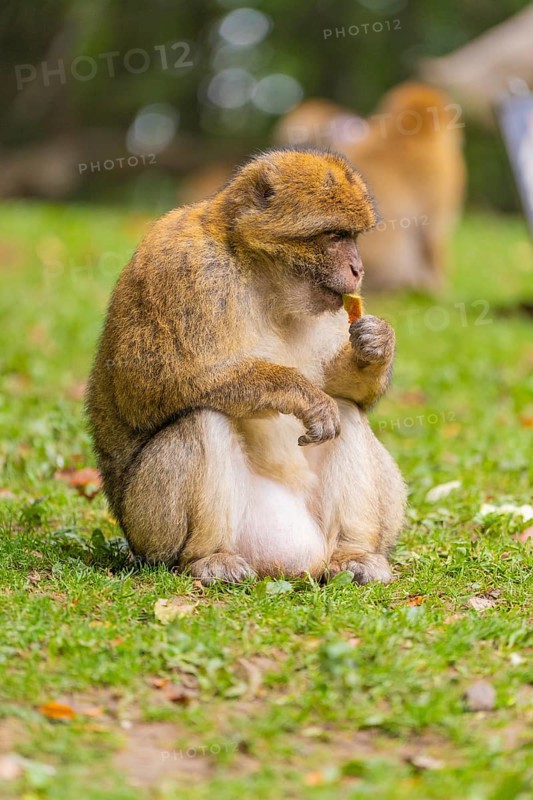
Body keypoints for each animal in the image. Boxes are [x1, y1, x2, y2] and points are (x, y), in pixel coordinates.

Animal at [86, 148, 406, 585]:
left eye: (354, 237)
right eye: (336, 236)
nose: (359, 269)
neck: (256, 269)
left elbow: (344, 389)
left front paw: (375, 345)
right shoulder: (184, 266)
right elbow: (148, 384)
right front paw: (297, 391)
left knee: (347, 412)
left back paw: (353, 554)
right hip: (152, 529)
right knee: (203, 416)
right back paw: (209, 557)